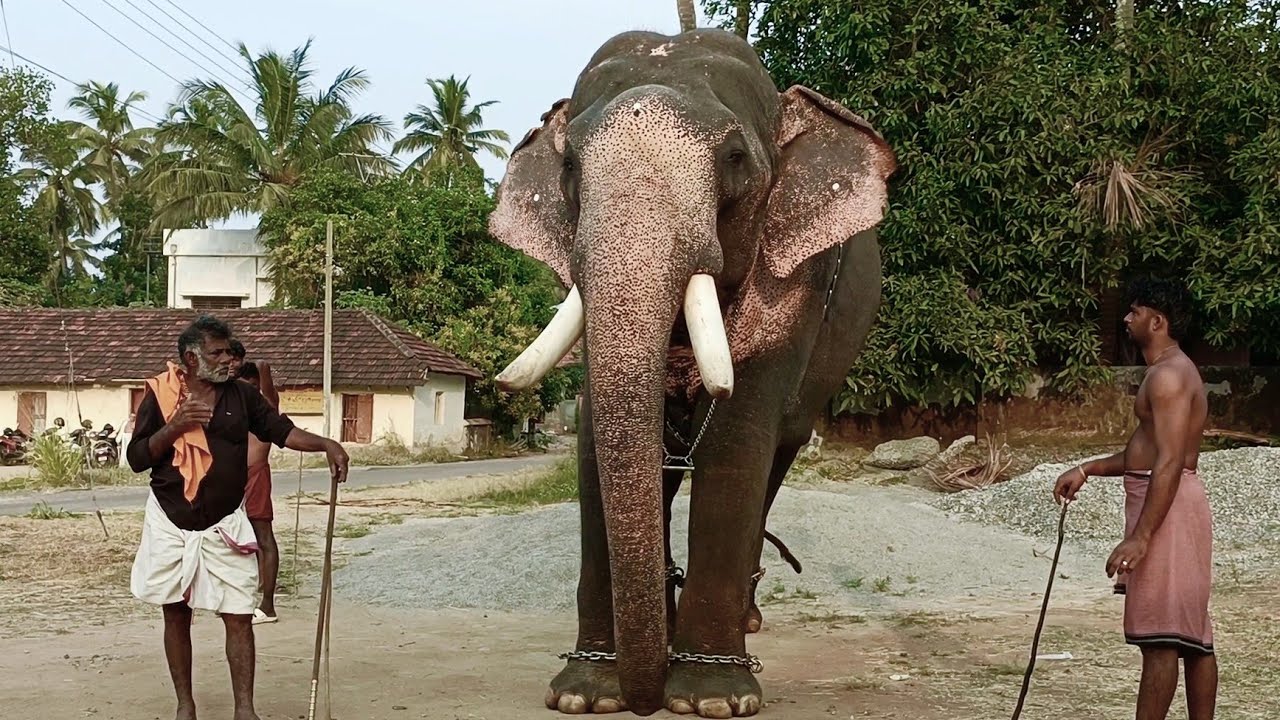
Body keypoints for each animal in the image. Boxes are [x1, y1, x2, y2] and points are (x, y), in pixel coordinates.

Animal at [487, 28, 896, 718]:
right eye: (570, 167)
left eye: (734, 157)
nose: (643, 697)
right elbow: (596, 446)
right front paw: (586, 693)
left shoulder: (793, 286)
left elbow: (735, 442)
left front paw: (711, 700)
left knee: (775, 458)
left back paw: (743, 623)